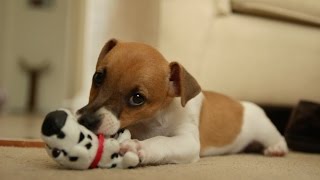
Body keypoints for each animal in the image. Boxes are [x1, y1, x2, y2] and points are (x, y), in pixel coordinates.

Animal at [77, 38, 288, 165]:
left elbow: (162, 141)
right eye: (98, 77)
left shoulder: (188, 141)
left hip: (265, 130)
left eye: (137, 98)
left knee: (278, 138)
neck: (151, 121)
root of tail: (243, 103)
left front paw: (139, 146)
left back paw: (276, 148)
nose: (85, 121)